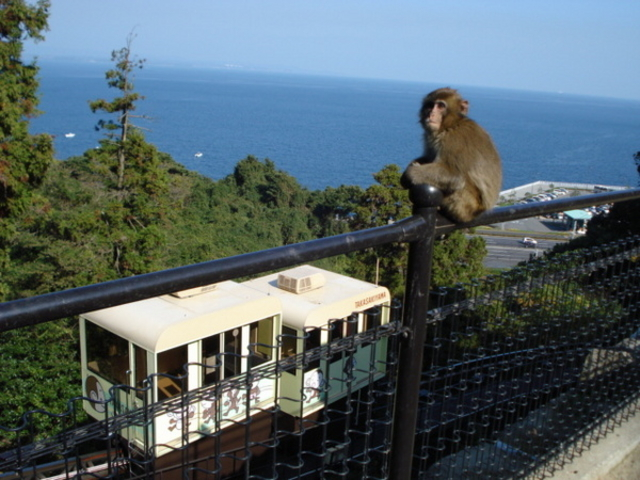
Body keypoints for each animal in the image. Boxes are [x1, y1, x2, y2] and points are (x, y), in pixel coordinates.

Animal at [401, 88, 502, 223]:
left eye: (441, 106)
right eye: (430, 105)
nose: (431, 114)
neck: (451, 124)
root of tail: (482, 210)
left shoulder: (454, 139)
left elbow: (455, 176)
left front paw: (410, 173)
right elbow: (429, 157)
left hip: (465, 206)